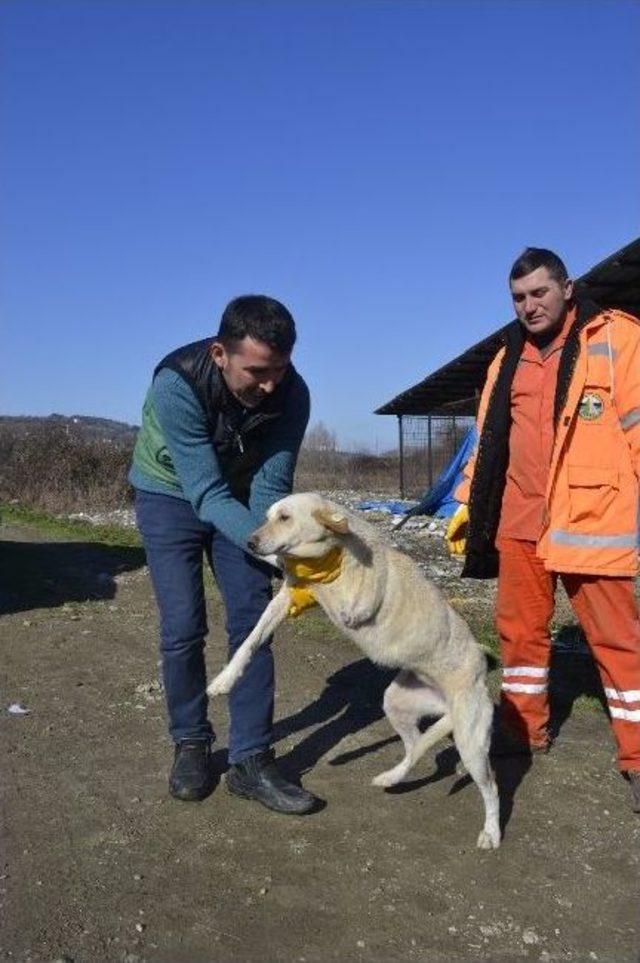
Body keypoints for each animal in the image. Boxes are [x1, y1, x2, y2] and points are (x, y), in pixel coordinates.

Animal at [210, 494, 500, 848]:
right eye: (268, 516)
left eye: (285, 517)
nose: (251, 542)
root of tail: (479, 675)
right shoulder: (287, 598)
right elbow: (251, 640)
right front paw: (224, 680)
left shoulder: (348, 609)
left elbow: (332, 581)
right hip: (398, 705)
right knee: (416, 748)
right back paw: (392, 777)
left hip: (471, 743)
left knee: (491, 788)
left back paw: (492, 832)